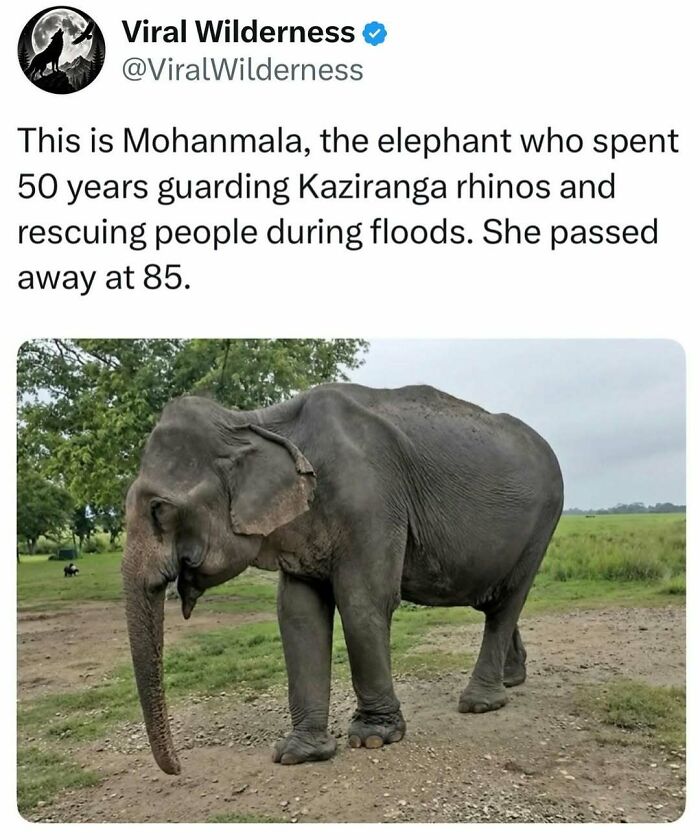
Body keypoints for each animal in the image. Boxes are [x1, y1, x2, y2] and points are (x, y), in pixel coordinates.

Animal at [122, 383, 563, 775]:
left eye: (160, 509)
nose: (178, 768)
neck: (256, 421)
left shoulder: (371, 500)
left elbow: (362, 600)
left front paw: (374, 738)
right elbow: (298, 613)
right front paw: (298, 753)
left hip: (543, 522)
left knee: (506, 602)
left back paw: (479, 702)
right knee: (494, 601)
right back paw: (513, 679)